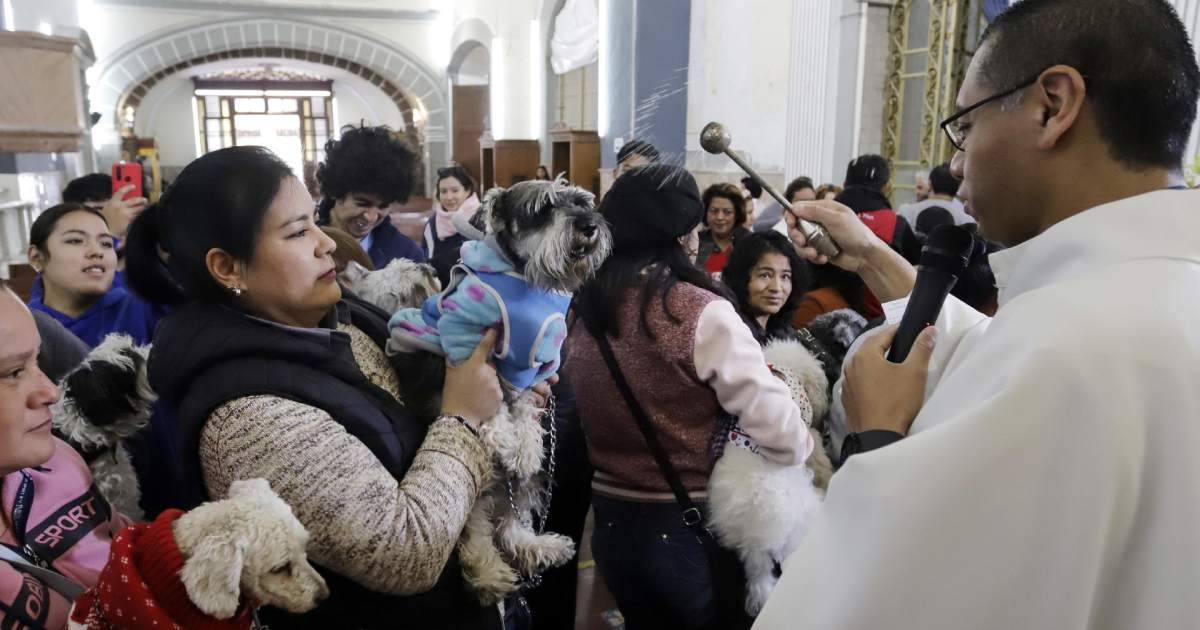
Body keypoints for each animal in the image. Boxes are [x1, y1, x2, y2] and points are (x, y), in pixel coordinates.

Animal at [386, 175, 609, 604]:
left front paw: (525, 447)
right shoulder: (462, 345)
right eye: (543, 207)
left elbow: (521, 407)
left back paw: (542, 546)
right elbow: (492, 406)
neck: (522, 276)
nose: (589, 226)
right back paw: (490, 576)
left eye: (581, 201)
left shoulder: (532, 364)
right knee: (475, 534)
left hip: (518, 487)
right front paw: (509, 439)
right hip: (469, 494)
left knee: (510, 523)